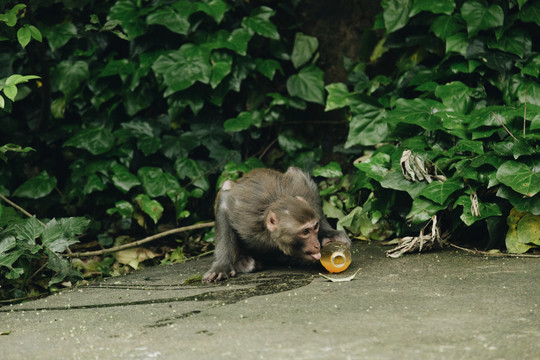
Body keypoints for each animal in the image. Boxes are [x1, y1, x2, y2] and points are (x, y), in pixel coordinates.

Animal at [202, 166, 350, 282]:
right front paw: (222, 266)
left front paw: (327, 233)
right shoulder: (244, 217)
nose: (316, 245)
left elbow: (300, 177)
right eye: (305, 232)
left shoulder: (303, 192)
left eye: (315, 227)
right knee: (227, 185)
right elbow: (225, 201)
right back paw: (242, 261)